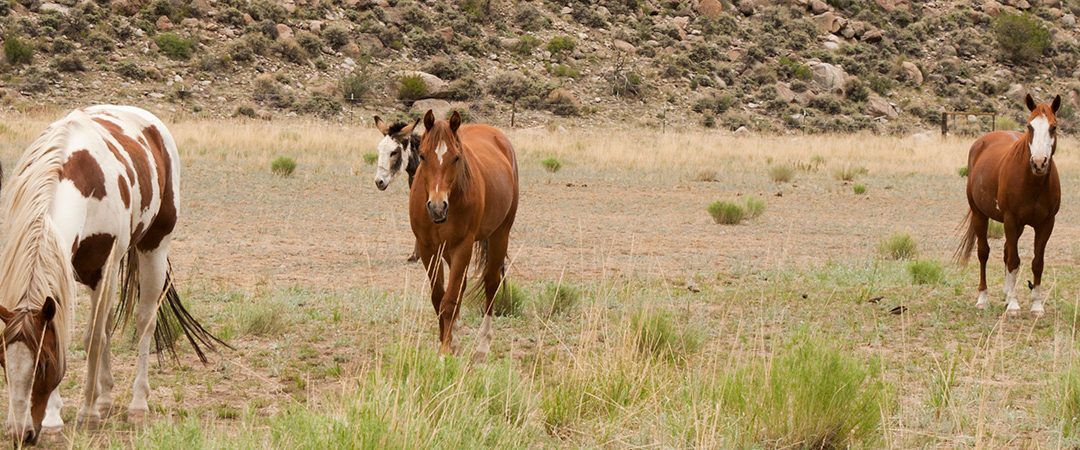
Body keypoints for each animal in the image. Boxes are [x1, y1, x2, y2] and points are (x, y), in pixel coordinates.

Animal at [0, 105, 224, 443]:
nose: (20, 433)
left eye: (45, 364)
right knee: (106, 326)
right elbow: (82, 332)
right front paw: (57, 419)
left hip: (153, 249)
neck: (75, 179)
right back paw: (105, 399)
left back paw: (137, 406)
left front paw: (86, 414)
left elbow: (92, 338)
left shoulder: (102, 268)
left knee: (145, 321)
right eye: (2, 362)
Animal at [410, 110, 518, 359]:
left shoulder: (462, 246)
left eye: (456, 158)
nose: (437, 207)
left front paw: (443, 352)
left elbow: (449, 300)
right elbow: (439, 297)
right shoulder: (428, 248)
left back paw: (482, 348)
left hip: (500, 235)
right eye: (422, 156)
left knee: (491, 284)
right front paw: (447, 343)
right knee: (462, 286)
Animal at [957, 93, 1062, 317]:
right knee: (984, 253)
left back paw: (1006, 295)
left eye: (1053, 127)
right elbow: (1014, 260)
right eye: (1030, 126)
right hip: (980, 215)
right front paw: (1014, 305)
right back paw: (983, 298)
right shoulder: (1011, 220)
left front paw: (1036, 305)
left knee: (1006, 251)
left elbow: (1037, 263)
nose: (1038, 163)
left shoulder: (1046, 224)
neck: (1033, 183)